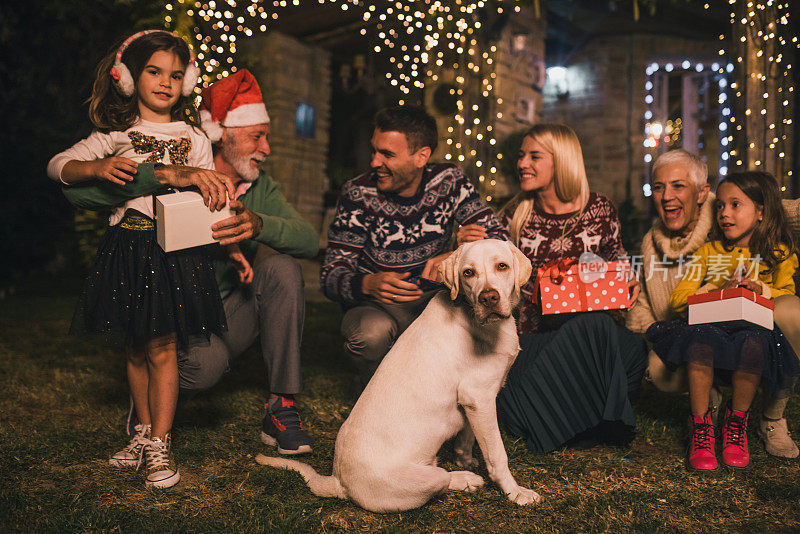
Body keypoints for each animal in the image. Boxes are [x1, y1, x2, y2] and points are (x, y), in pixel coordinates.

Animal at [260, 240, 540, 516]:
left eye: (502, 266)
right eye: (468, 273)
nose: (489, 298)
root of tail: (339, 481)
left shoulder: (475, 401)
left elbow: (467, 438)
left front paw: (465, 459)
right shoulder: (480, 398)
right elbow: (497, 455)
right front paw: (515, 493)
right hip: (430, 477)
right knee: (442, 480)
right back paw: (464, 479)